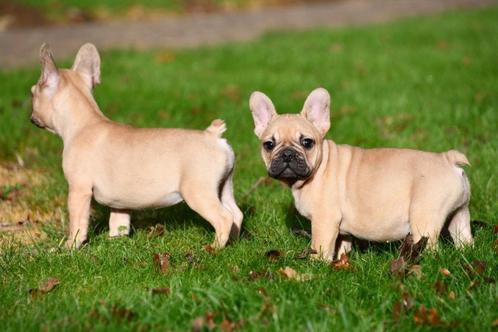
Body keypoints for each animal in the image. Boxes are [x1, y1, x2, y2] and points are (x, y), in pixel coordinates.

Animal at [29, 42, 243, 248]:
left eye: (32, 94)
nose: (31, 117)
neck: (84, 123)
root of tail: (212, 135)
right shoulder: (119, 203)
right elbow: (119, 222)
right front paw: (115, 242)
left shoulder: (78, 189)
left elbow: (77, 224)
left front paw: (69, 247)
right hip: (224, 186)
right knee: (235, 214)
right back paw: (233, 243)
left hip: (198, 192)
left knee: (223, 218)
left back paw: (214, 248)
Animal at [251, 88, 472, 262]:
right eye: (268, 145)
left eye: (307, 142)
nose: (287, 154)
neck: (318, 169)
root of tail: (448, 158)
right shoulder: (340, 229)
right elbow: (341, 246)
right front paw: (340, 263)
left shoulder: (324, 220)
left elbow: (320, 247)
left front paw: (316, 267)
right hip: (460, 214)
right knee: (464, 238)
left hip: (424, 220)